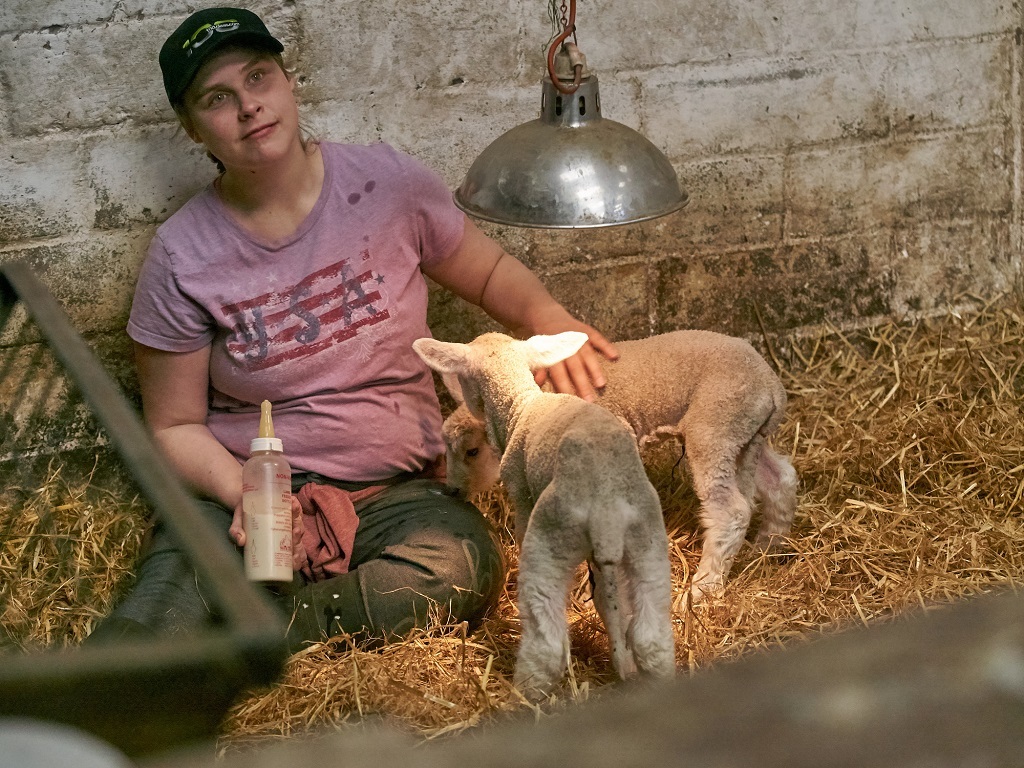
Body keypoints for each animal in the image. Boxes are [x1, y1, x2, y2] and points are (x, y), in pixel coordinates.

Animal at [411, 331, 675, 704]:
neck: (520, 404)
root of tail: (606, 505)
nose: (452, 491)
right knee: (652, 639)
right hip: (647, 537)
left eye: (471, 451)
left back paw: (523, 697)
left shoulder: (523, 502)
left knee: (548, 645)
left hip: (552, 535)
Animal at [440, 327, 798, 606]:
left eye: (472, 451)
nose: (453, 491)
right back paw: (767, 547)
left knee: (731, 510)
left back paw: (701, 589)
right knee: (781, 479)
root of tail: (773, 388)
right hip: (743, 435)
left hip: (715, 425)